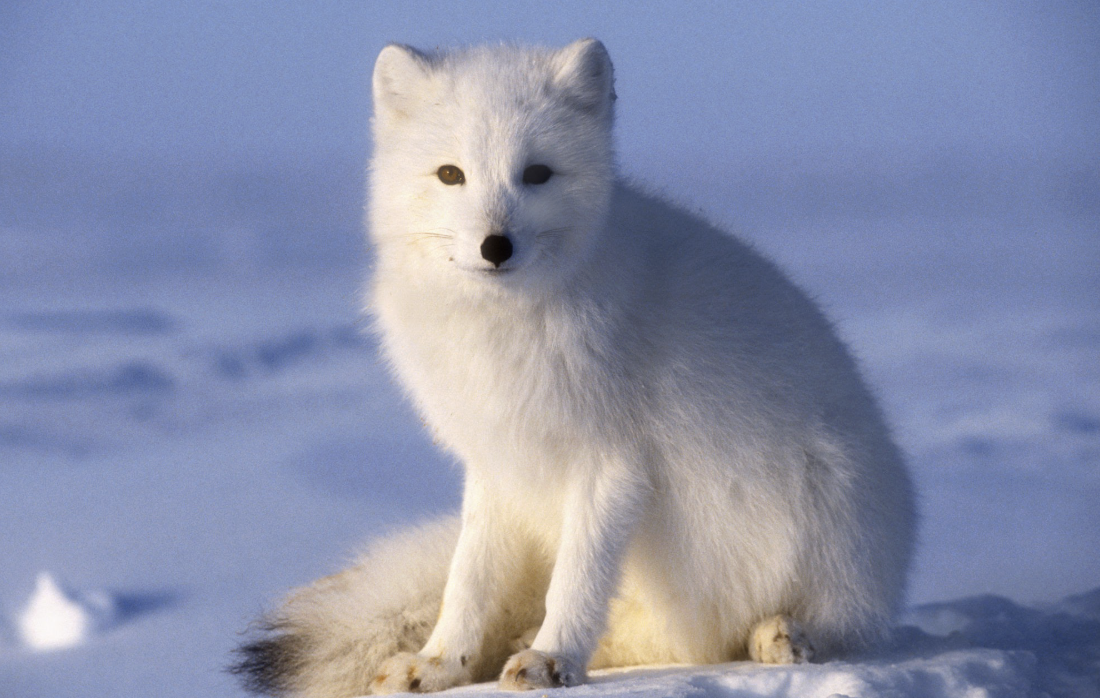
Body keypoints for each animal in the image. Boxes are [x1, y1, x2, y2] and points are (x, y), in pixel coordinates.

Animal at [232, 39, 917, 697]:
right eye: (451, 174)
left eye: (536, 174)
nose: (495, 246)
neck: (505, 330)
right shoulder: (497, 463)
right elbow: (468, 580)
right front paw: (441, 664)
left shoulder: (611, 463)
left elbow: (578, 579)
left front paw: (551, 659)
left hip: (830, 507)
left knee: (814, 628)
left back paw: (779, 635)